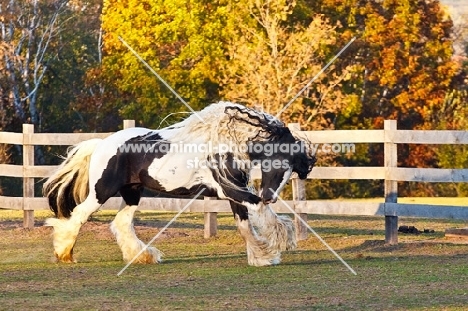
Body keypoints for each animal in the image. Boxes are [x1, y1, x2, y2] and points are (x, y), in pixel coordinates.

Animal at [44, 101, 316, 266]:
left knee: (121, 223)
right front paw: (280, 240)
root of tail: (102, 143)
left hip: (132, 193)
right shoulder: (229, 190)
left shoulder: (233, 193)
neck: (226, 143)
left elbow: (245, 225)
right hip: (102, 191)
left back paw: (143, 256)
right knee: (79, 215)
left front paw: (261, 257)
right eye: (281, 163)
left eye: (294, 169)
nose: (271, 195)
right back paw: (64, 253)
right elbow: (257, 209)